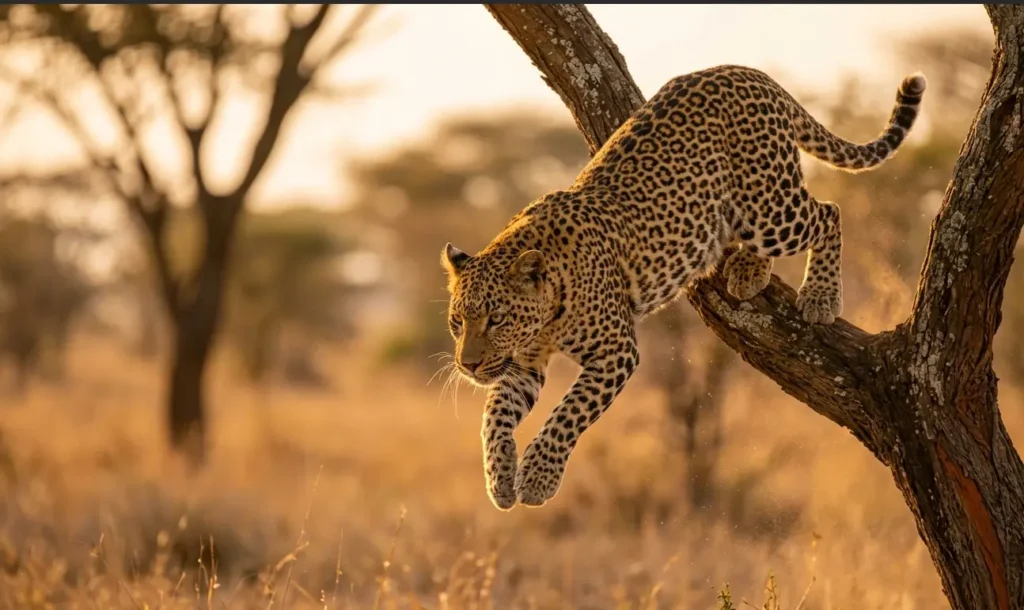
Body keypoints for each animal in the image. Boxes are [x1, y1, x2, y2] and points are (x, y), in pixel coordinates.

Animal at [440, 64, 926, 510]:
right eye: (457, 323)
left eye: (497, 319)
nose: (467, 366)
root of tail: (750, 72)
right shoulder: (521, 365)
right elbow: (493, 416)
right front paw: (500, 478)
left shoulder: (615, 352)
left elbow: (568, 412)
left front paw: (539, 477)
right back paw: (749, 269)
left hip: (769, 206)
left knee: (828, 212)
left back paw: (820, 296)